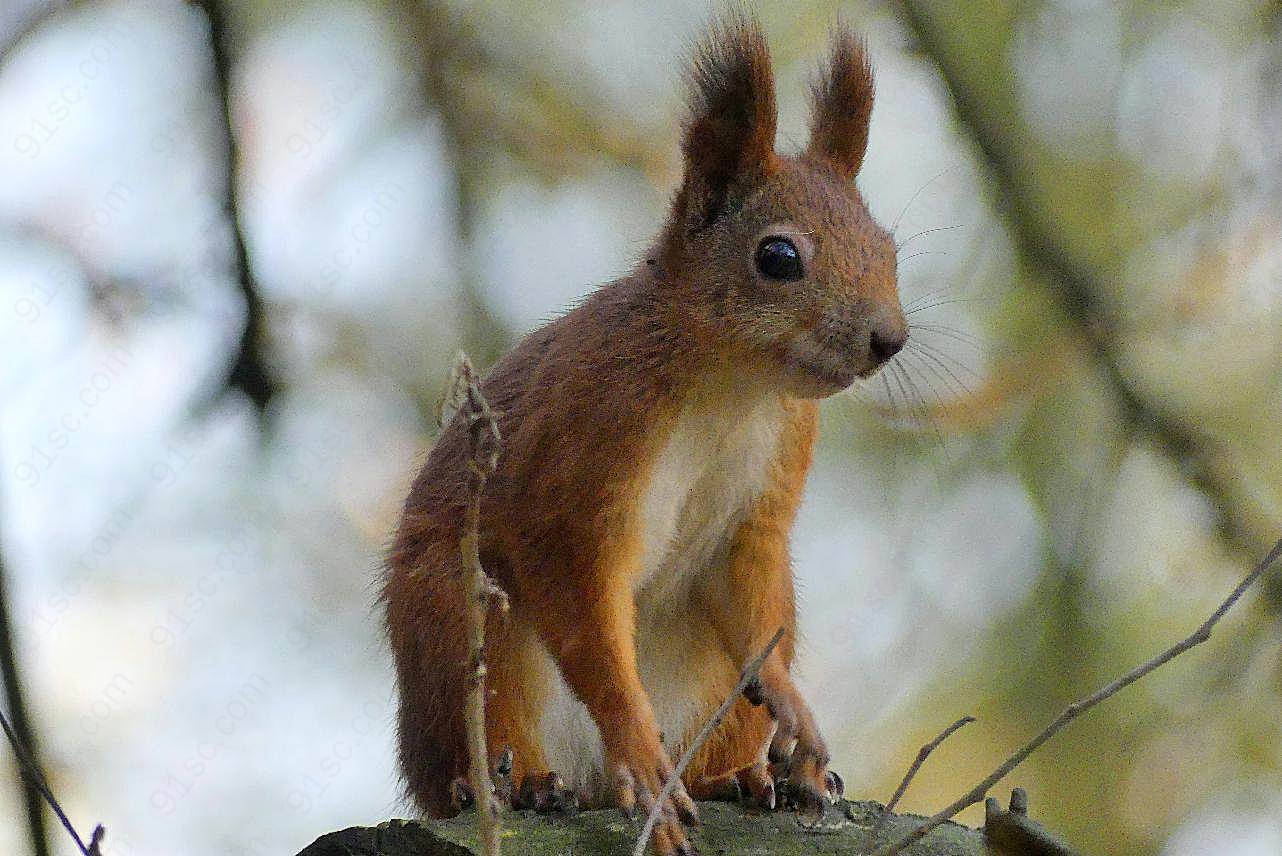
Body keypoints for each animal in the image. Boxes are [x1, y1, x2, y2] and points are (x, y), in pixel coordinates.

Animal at [384, 13, 907, 856]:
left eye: (888, 247)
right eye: (778, 256)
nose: (888, 339)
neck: (733, 385)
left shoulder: (760, 507)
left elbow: (751, 601)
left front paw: (794, 709)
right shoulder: (587, 444)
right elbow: (579, 598)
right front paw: (636, 738)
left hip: (711, 688)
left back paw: (743, 778)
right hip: (463, 623)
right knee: (489, 730)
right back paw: (520, 783)